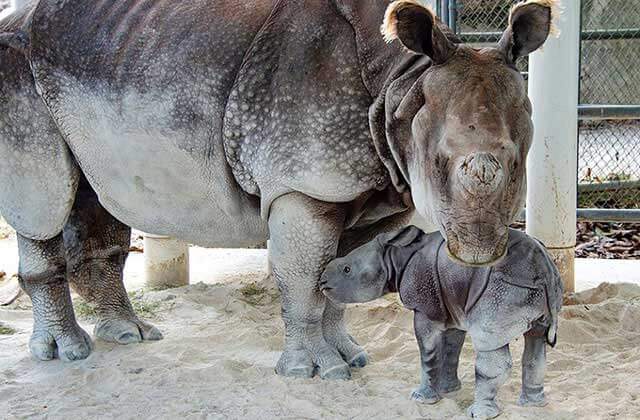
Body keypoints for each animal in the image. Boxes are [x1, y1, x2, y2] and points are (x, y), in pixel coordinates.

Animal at [1, 0, 556, 378]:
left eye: (518, 162)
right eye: (440, 164)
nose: (481, 253)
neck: (400, 82)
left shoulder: (373, 192)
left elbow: (340, 281)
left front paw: (351, 359)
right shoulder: (304, 183)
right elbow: (305, 280)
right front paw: (312, 372)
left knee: (93, 196)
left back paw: (130, 336)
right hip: (15, 70)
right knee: (43, 203)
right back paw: (67, 353)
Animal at [322, 226, 564, 416]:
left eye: (346, 269)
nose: (322, 281)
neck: (394, 256)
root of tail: (545, 268)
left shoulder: (425, 309)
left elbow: (428, 352)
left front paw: (422, 398)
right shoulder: (452, 304)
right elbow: (451, 348)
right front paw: (449, 390)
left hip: (505, 287)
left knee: (488, 342)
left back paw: (479, 414)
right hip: (536, 286)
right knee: (537, 340)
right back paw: (533, 405)